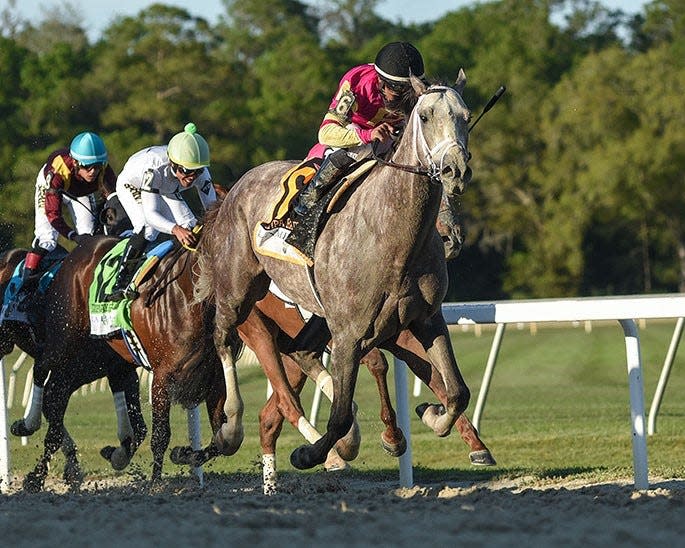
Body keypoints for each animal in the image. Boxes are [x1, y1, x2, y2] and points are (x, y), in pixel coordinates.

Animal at [0, 246, 146, 490]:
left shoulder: (120, 371)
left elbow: (140, 428)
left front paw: (115, 454)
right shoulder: (66, 373)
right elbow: (53, 426)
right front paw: (36, 477)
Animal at [195, 74, 476, 470]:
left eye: (465, 116)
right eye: (424, 116)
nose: (455, 171)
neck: (394, 237)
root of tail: (234, 188)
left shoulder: (425, 318)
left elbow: (457, 391)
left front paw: (430, 414)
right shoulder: (349, 333)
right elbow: (340, 413)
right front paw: (310, 453)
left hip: (318, 313)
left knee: (301, 352)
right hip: (240, 291)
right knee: (223, 336)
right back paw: (232, 428)